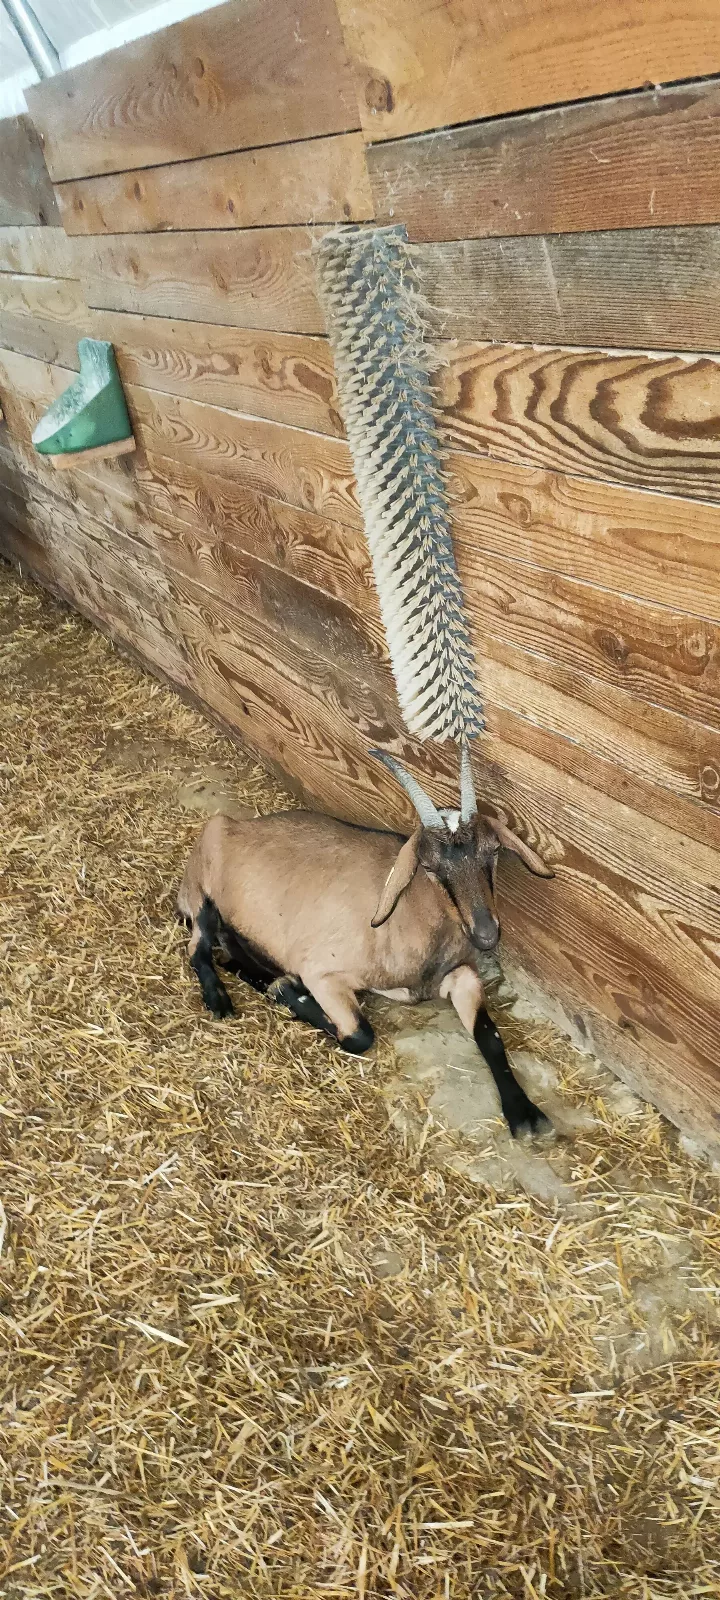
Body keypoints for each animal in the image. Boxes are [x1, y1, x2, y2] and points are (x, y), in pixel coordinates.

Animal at [177, 748, 554, 1137]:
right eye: (429, 866)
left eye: (492, 851)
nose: (486, 933)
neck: (410, 919)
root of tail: (232, 826)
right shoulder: (322, 973)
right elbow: (357, 1034)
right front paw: (287, 990)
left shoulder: (462, 973)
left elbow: (490, 1035)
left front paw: (524, 1112)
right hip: (202, 892)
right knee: (197, 948)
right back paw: (223, 997)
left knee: (225, 945)